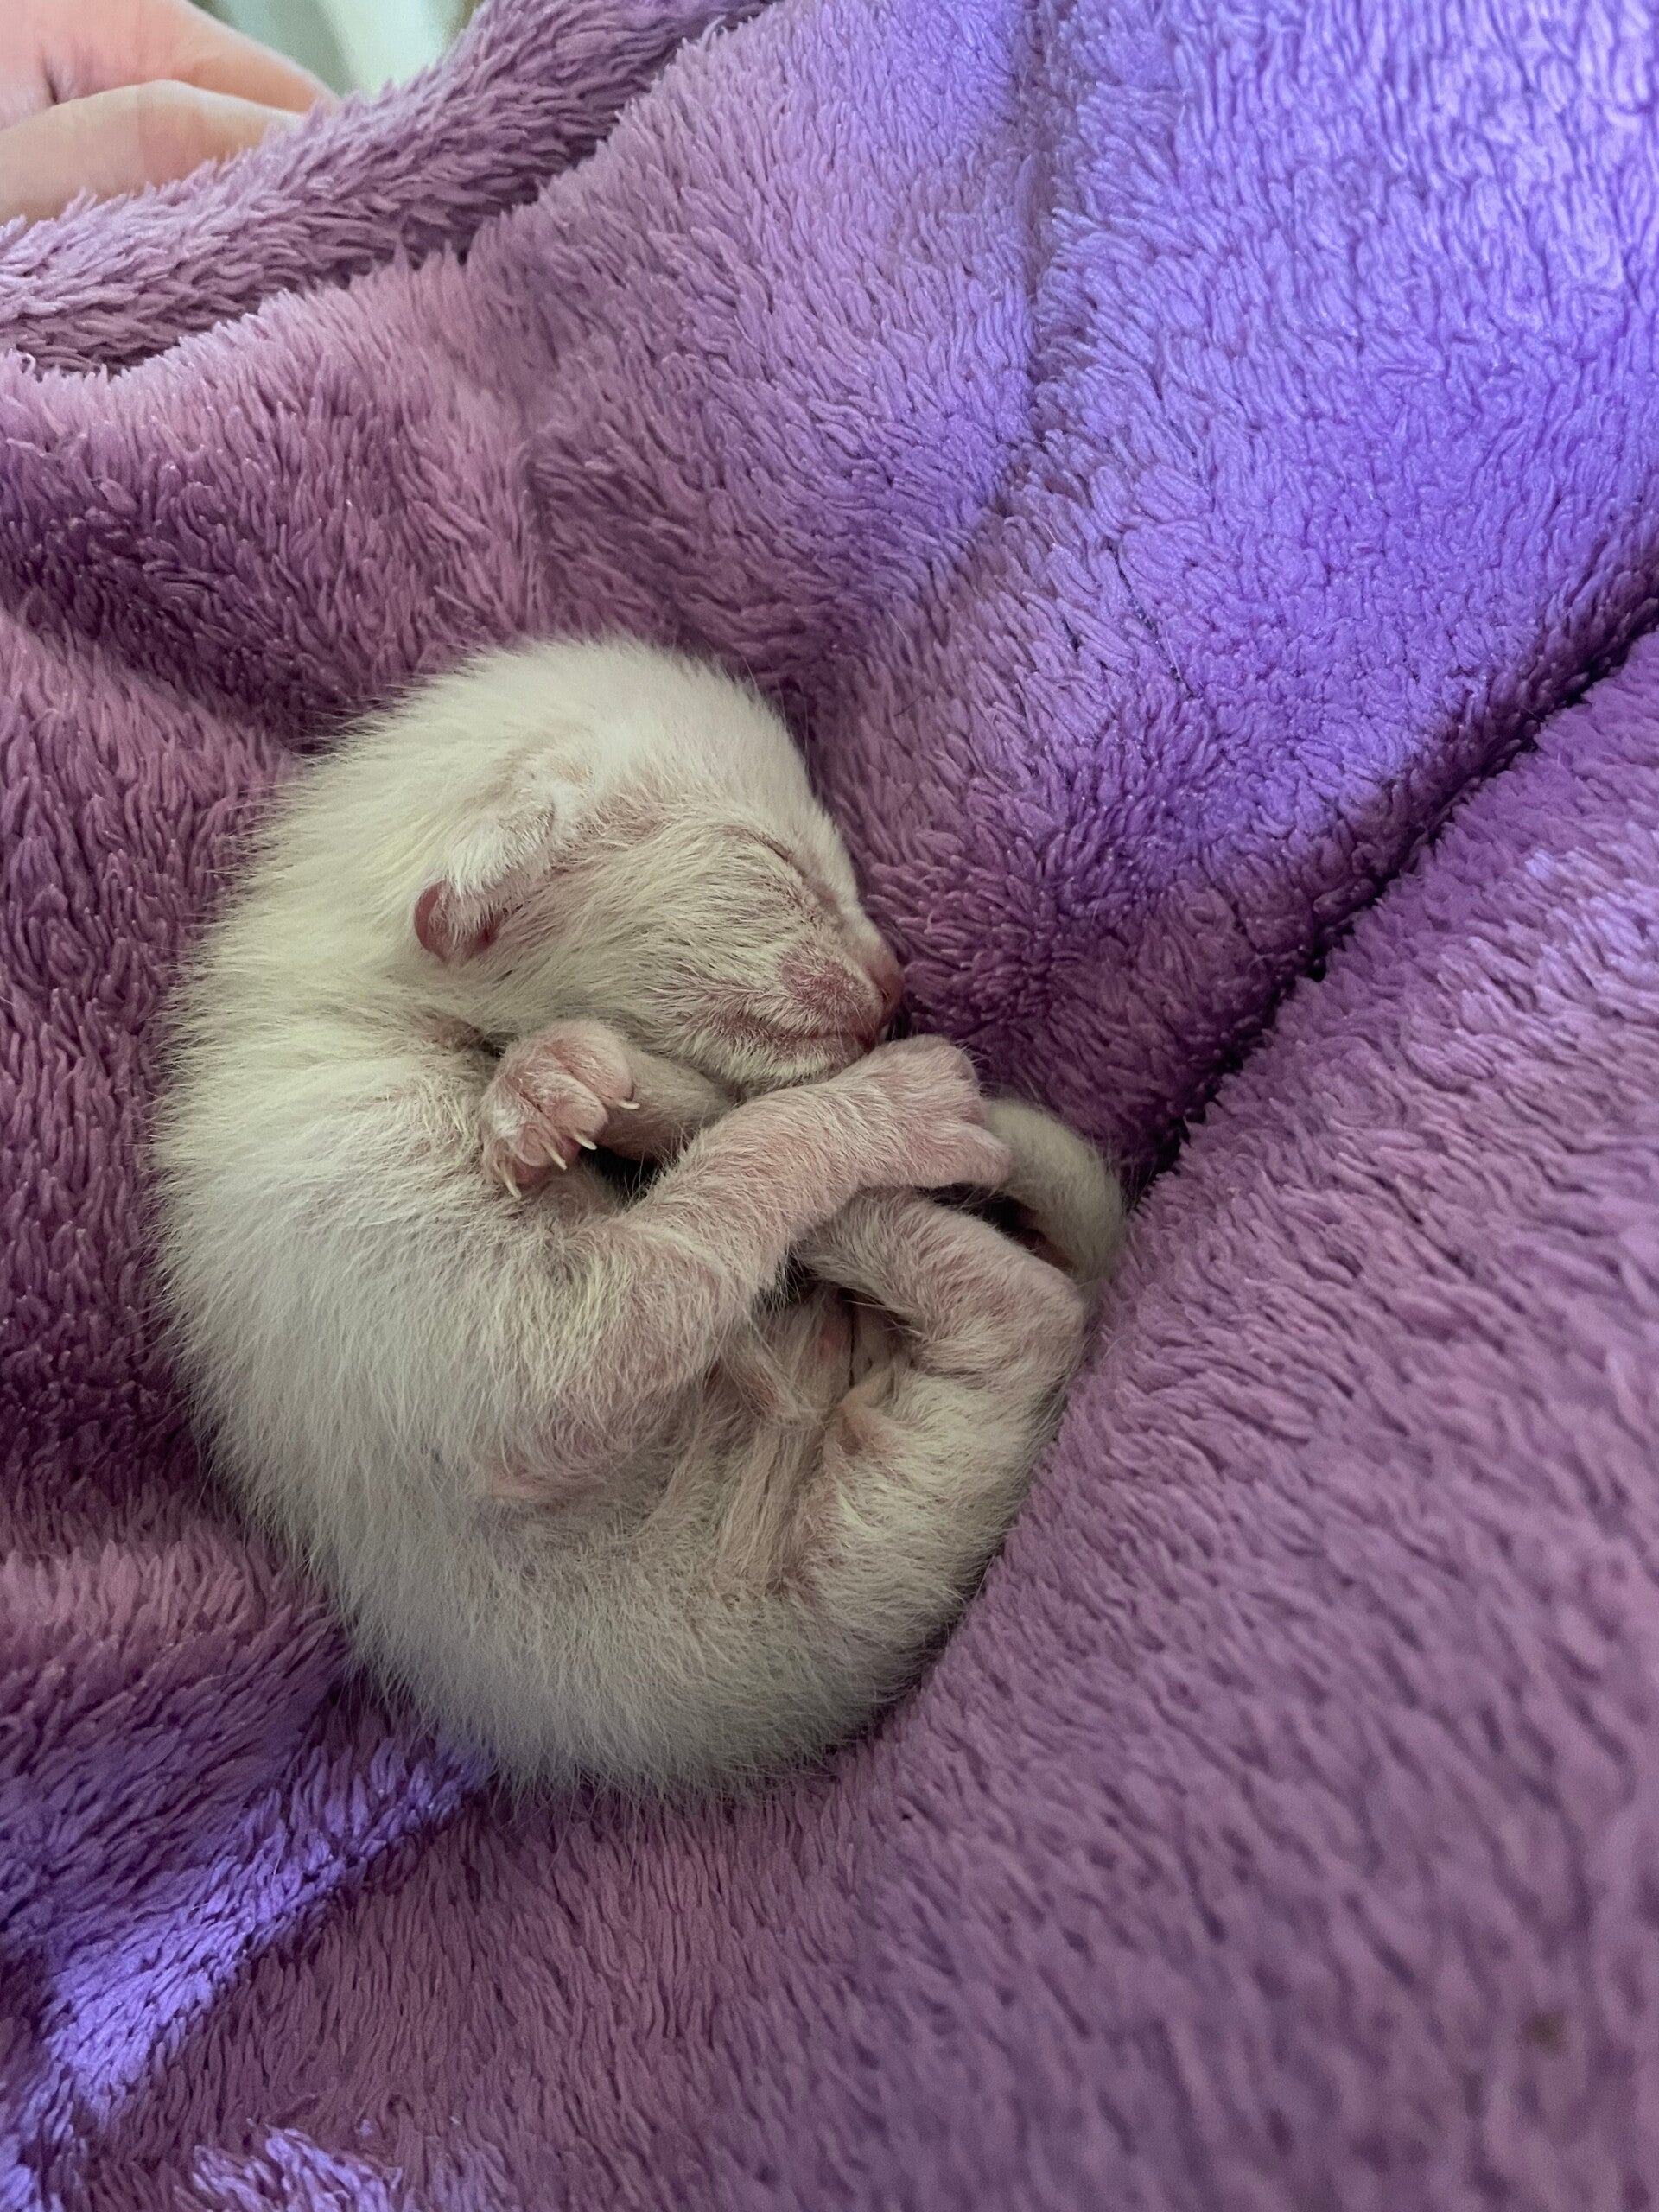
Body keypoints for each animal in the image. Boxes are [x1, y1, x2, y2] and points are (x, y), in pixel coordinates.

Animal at [152, 639, 1123, 1791]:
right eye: (774, 864)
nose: (897, 989)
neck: (368, 1007)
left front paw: (558, 1092)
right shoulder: (377, 1209)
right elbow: (679, 1248)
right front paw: (874, 1106)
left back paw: (588, 1084)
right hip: (902, 1496)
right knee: (1024, 1302)